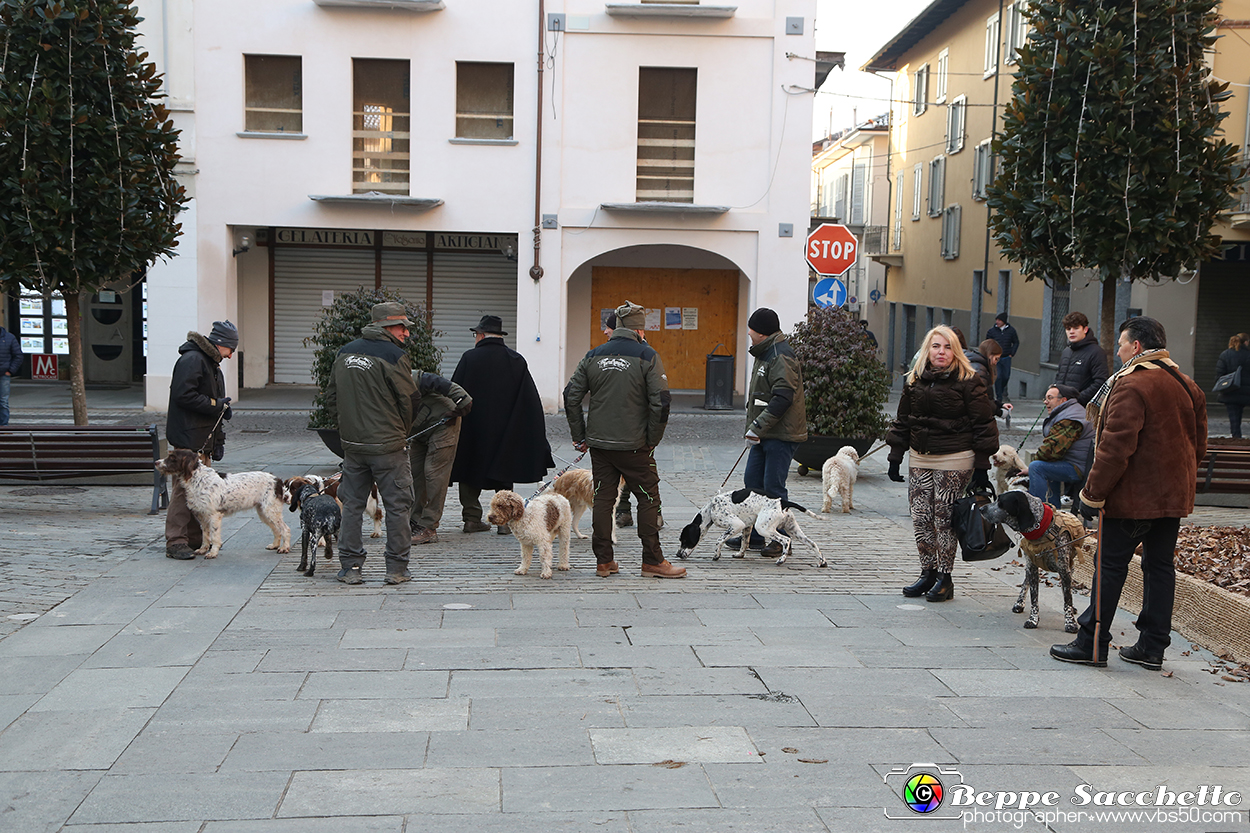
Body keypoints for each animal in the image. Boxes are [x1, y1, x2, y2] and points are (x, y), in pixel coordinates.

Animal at [155, 447, 290, 557]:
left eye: (172, 457)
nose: (156, 462)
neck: (197, 478)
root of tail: (277, 480)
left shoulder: (214, 515)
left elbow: (214, 536)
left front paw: (213, 552)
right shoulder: (202, 515)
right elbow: (205, 536)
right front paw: (203, 549)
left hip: (270, 511)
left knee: (285, 529)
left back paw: (284, 548)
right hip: (264, 512)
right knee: (276, 529)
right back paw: (275, 545)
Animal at [675, 487, 830, 565]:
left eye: (685, 540)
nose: (677, 555)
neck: (711, 508)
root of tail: (783, 502)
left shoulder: (737, 525)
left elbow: (719, 540)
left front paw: (716, 555)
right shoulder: (746, 527)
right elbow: (745, 542)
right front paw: (740, 555)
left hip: (763, 528)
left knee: (786, 540)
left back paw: (781, 560)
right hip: (793, 530)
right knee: (812, 543)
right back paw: (822, 561)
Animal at [980, 487, 1090, 630]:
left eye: (1001, 502)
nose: (981, 508)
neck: (1041, 528)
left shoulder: (1064, 571)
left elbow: (1068, 598)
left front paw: (1070, 622)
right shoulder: (1032, 568)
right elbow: (1034, 598)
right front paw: (1033, 620)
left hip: (1069, 568)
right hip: (1030, 567)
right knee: (1025, 583)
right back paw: (1019, 603)